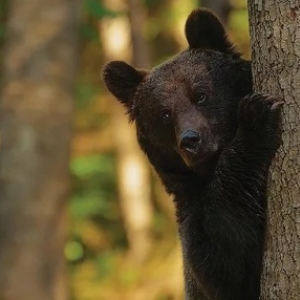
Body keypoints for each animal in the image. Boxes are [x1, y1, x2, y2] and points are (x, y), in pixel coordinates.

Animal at [102, 7, 282, 300]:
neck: (207, 172)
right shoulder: (192, 216)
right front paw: (256, 117)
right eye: (164, 114)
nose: (191, 140)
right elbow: (228, 259)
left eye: (200, 95)